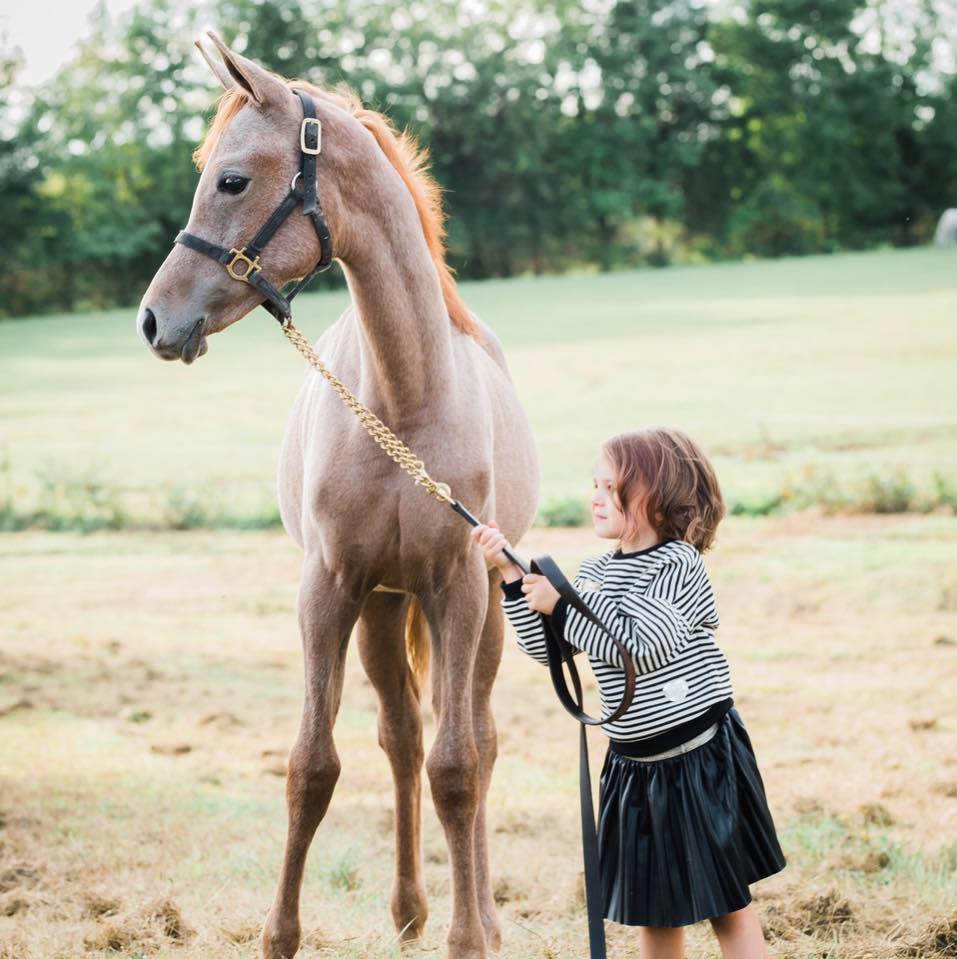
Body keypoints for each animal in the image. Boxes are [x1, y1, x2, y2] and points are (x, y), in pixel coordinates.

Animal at [136, 30, 539, 959]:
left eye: (232, 179)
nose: (154, 318)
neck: (403, 397)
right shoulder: (328, 588)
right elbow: (312, 764)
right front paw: (280, 934)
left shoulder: (457, 587)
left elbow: (459, 767)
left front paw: (470, 936)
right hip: (383, 607)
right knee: (401, 737)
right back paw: (408, 907)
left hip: (481, 612)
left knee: (474, 737)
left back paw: (480, 910)